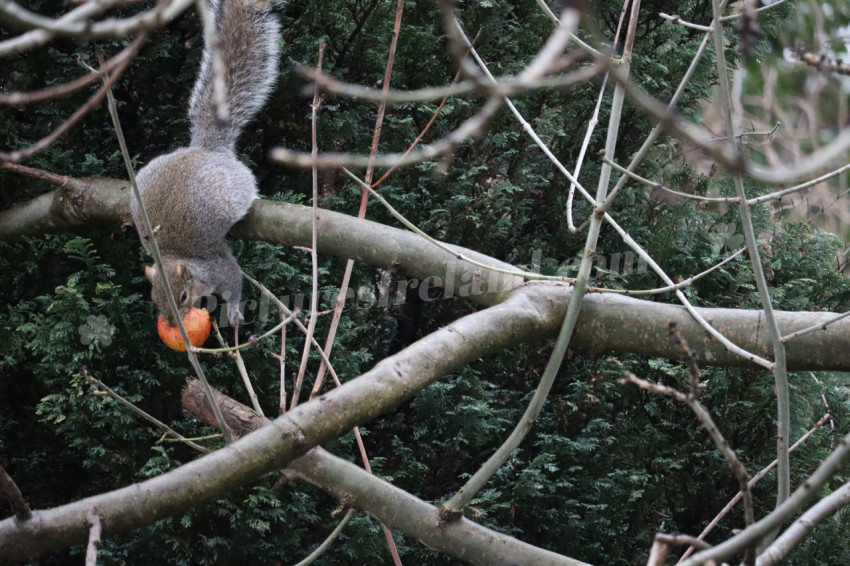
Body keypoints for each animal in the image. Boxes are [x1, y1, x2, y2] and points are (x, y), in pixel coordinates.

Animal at [130, 0, 280, 327]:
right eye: (154, 298)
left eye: (183, 296)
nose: (172, 323)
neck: (171, 255)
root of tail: (206, 149)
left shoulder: (215, 264)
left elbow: (234, 279)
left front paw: (234, 311)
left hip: (235, 186)